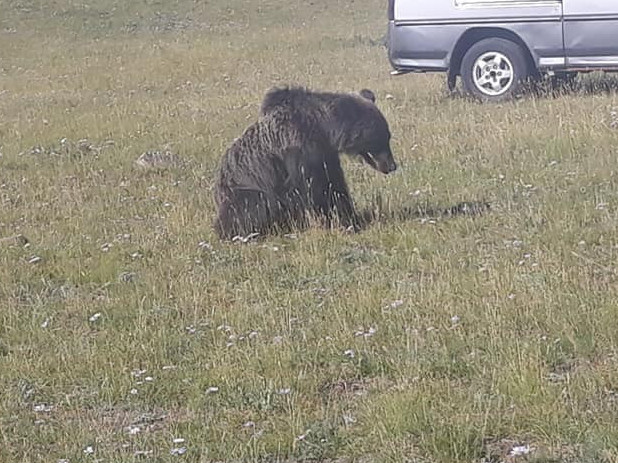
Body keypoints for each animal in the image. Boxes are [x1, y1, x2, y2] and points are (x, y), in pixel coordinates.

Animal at [212, 86, 394, 243]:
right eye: (380, 138)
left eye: (388, 136)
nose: (392, 165)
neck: (322, 129)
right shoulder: (299, 151)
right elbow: (314, 189)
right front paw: (342, 222)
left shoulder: (326, 155)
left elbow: (335, 185)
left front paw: (351, 216)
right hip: (242, 190)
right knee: (251, 206)